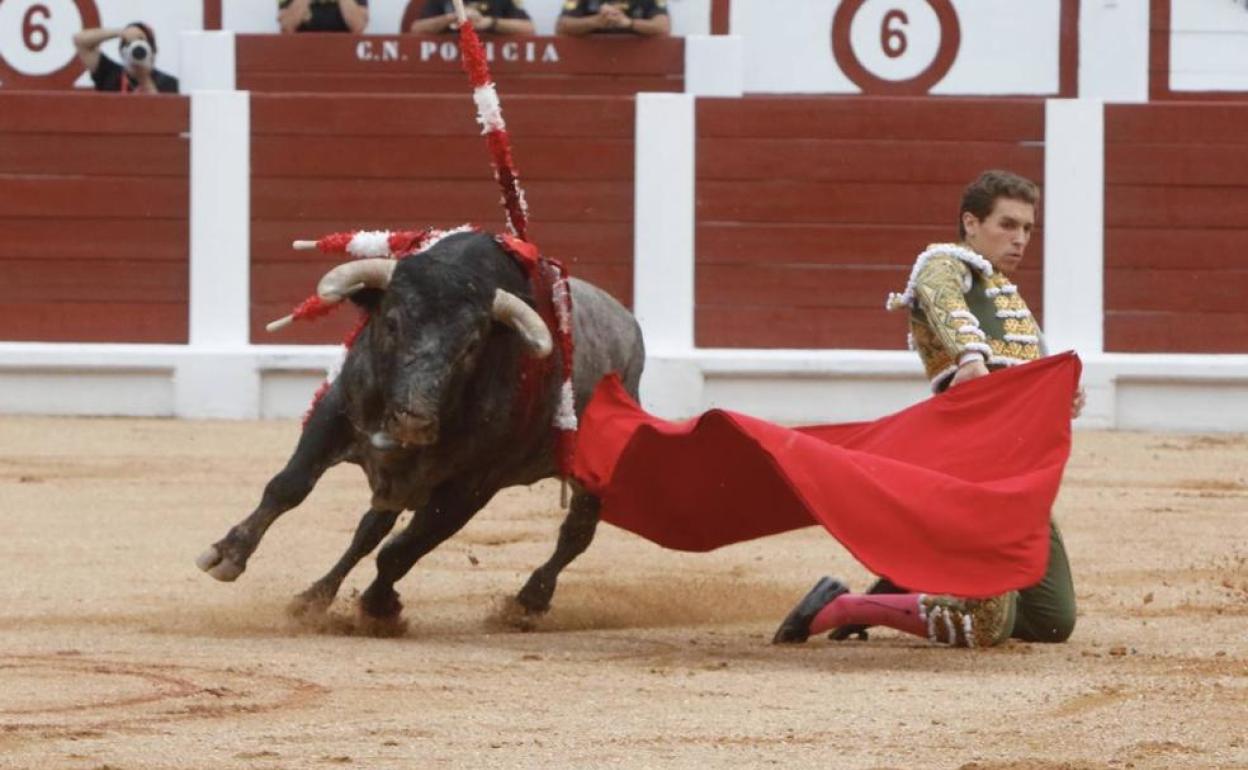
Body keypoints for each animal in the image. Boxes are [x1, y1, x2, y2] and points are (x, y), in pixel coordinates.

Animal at [197, 229, 643, 623]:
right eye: (392, 323)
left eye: (472, 345)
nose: (414, 419)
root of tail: (628, 327)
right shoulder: (334, 412)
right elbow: (289, 487)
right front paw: (227, 554)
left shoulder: (471, 488)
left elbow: (404, 550)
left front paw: (379, 607)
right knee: (369, 530)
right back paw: (314, 597)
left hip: (592, 474)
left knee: (577, 532)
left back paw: (528, 602)